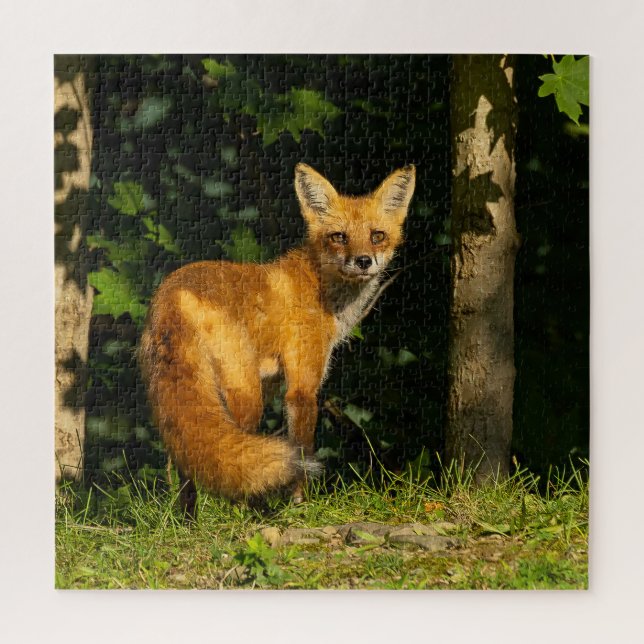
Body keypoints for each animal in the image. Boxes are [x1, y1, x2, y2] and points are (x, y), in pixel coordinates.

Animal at [139, 163, 416, 514]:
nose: (363, 261)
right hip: (244, 394)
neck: (321, 288)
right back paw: (243, 512)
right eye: (339, 237)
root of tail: (173, 295)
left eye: (377, 236)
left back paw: (191, 519)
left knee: (190, 460)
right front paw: (300, 502)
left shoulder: (273, 381)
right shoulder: (302, 387)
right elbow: (302, 446)